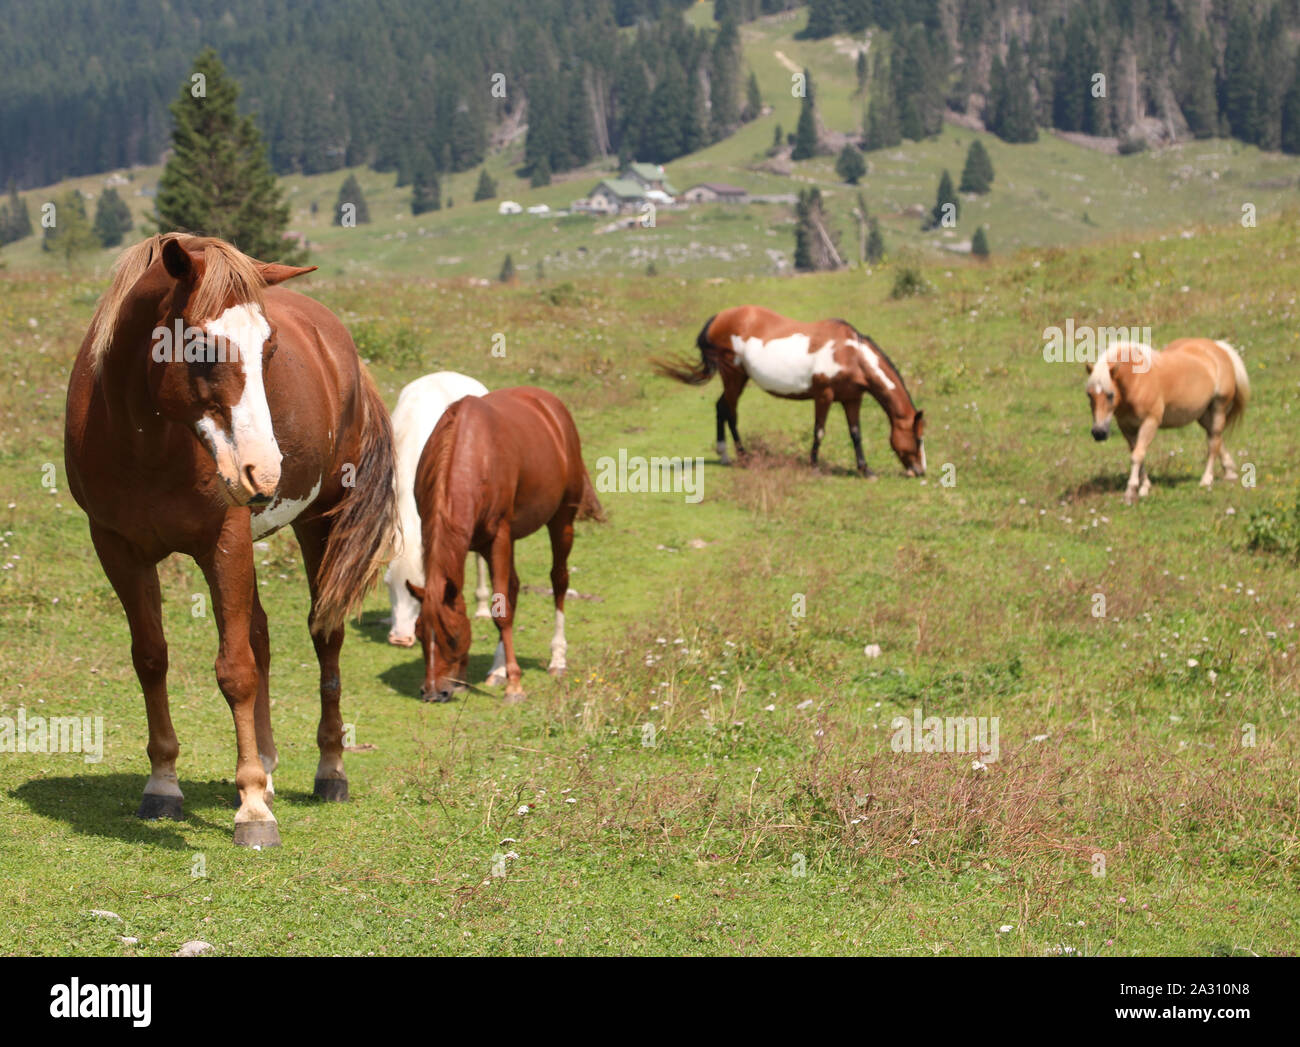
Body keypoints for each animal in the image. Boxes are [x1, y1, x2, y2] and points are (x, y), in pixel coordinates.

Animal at [64, 234, 396, 847]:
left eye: (269, 350)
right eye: (199, 348)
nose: (263, 471)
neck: (146, 442)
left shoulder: (225, 542)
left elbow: (235, 669)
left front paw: (253, 810)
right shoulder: (118, 549)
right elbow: (152, 658)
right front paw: (164, 785)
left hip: (320, 523)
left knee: (324, 633)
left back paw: (328, 771)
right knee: (260, 633)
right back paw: (265, 766)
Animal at [404, 386, 604, 703]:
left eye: (452, 637)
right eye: (420, 633)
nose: (434, 693)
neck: (471, 454)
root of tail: (551, 405)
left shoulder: (499, 535)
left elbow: (502, 612)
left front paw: (515, 685)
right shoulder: (458, 536)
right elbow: (498, 601)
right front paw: (482, 677)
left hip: (562, 521)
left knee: (559, 580)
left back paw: (557, 659)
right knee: (513, 587)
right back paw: (498, 670)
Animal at [654, 305, 926, 477]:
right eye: (919, 438)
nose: (920, 471)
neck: (850, 353)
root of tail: (718, 318)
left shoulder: (852, 399)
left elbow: (856, 434)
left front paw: (865, 469)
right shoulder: (824, 396)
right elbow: (819, 431)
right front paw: (814, 466)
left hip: (737, 379)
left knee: (721, 407)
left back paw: (724, 455)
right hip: (733, 376)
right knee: (730, 411)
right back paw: (743, 456)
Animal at [1084, 338, 1249, 505]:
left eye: (1110, 395)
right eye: (1089, 395)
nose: (1099, 433)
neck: (1137, 380)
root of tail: (1218, 347)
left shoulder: (1149, 423)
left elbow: (1137, 455)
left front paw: (1130, 492)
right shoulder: (1127, 428)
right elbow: (1137, 454)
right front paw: (1144, 486)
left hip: (1218, 408)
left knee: (1213, 442)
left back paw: (1206, 479)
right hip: (1203, 415)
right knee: (1216, 438)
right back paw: (1229, 472)